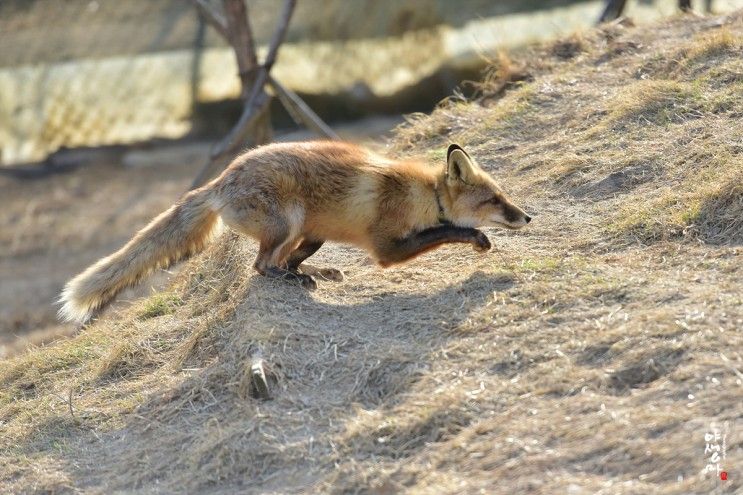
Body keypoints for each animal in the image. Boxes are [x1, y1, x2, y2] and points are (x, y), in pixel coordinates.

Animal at [61, 141, 532, 324]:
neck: (424, 196)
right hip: (287, 219)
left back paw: (312, 274)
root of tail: (219, 181)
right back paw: (293, 278)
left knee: (285, 259)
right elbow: (446, 231)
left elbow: (443, 229)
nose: (527, 217)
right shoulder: (387, 248)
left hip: (310, 231)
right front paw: (476, 239)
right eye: (494, 200)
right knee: (259, 266)